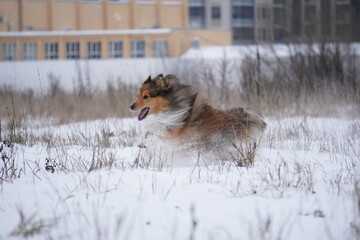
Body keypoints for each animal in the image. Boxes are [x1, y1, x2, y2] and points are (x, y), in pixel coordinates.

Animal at [131, 73, 266, 154]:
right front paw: (142, 143)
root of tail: (241, 119)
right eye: (137, 95)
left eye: (146, 96)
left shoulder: (173, 132)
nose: (131, 106)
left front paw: (145, 143)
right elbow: (148, 132)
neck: (169, 106)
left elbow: (156, 134)